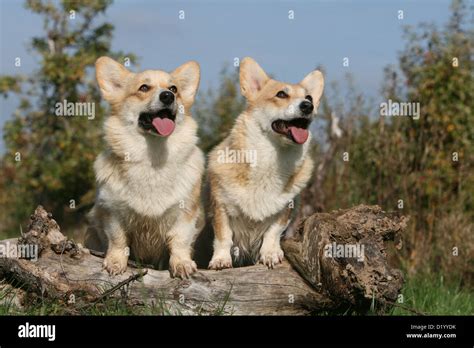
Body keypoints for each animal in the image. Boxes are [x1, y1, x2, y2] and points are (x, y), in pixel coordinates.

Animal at [85, 58, 204, 278]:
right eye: (144, 88)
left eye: (174, 89)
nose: (168, 96)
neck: (153, 157)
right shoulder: (112, 213)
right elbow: (118, 241)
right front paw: (115, 262)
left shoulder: (185, 215)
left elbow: (180, 241)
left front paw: (182, 264)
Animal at [207, 57, 322, 270]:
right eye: (281, 94)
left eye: (309, 98)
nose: (307, 106)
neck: (272, 155)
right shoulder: (221, 208)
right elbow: (223, 237)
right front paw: (220, 260)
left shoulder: (285, 210)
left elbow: (272, 232)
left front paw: (270, 254)